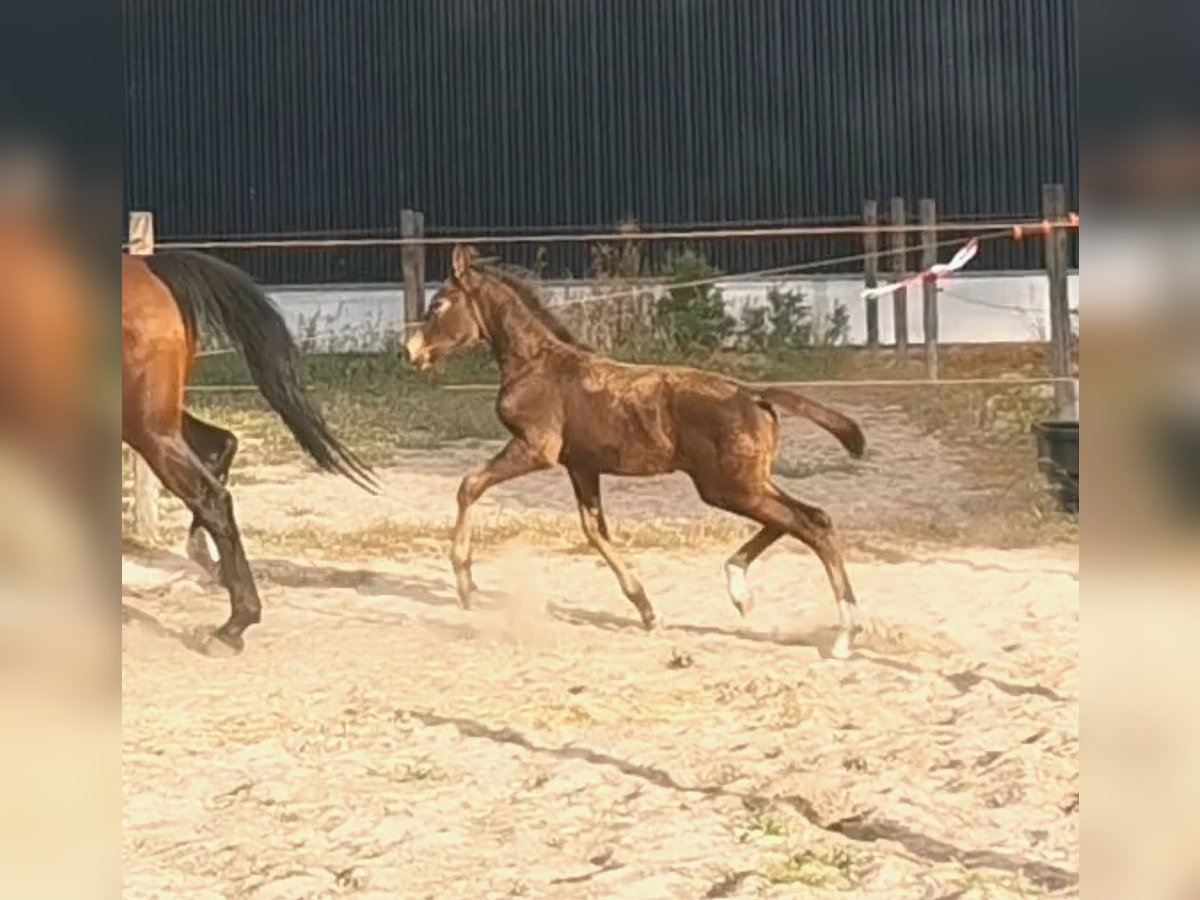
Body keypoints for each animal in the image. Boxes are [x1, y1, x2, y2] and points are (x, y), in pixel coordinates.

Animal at [123, 247, 374, 657]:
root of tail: (150, 266)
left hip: (147, 426)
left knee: (212, 495)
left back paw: (232, 626)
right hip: (155, 419)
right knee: (221, 446)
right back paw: (211, 565)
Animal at [408, 243, 868, 657]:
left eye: (438, 305)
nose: (412, 351)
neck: (535, 364)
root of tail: (754, 395)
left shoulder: (535, 449)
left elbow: (469, 484)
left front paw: (465, 582)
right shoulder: (581, 466)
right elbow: (594, 531)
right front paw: (647, 610)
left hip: (727, 486)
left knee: (808, 523)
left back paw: (845, 633)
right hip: (745, 483)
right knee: (804, 518)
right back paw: (742, 591)